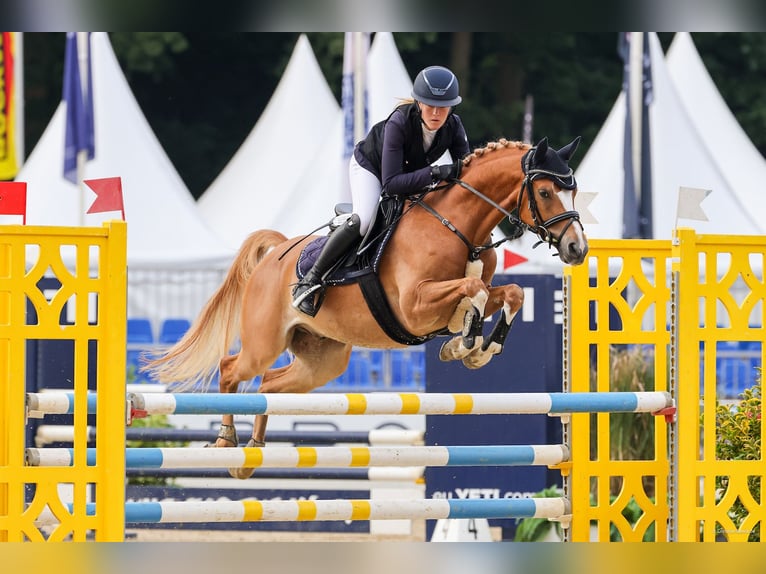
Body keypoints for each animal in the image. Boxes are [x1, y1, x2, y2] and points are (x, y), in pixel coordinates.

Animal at [144, 137, 588, 480]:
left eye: (574, 191)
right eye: (545, 192)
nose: (577, 249)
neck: (460, 227)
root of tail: (278, 252)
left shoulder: (463, 296)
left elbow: (511, 293)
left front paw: (477, 347)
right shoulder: (415, 306)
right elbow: (474, 288)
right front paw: (466, 344)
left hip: (323, 361)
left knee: (268, 385)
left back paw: (251, 453)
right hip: (264, 342)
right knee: (231, 369)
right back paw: (226, 442)